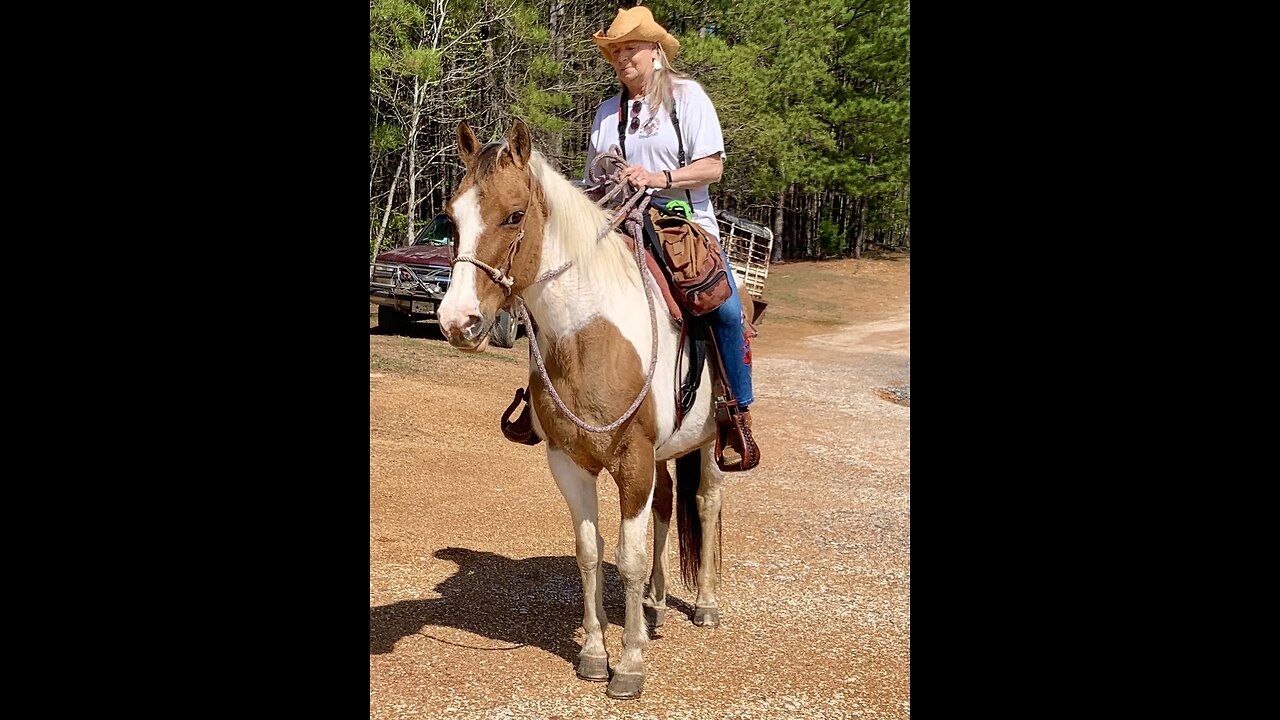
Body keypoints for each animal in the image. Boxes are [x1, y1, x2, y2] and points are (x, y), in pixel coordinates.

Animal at [437, 120, 727, 696]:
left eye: (514, 215)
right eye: (452, 216)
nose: (458, 321)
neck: (589, 336)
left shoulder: (633, 462)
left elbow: (628, 557)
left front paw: (630, 663)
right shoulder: (569, 463)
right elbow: (590, 553)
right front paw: (595, 653)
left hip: (710, 442)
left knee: (706, 503)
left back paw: (703, 604)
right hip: (665, 454)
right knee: (667, 508)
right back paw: (656, 604)